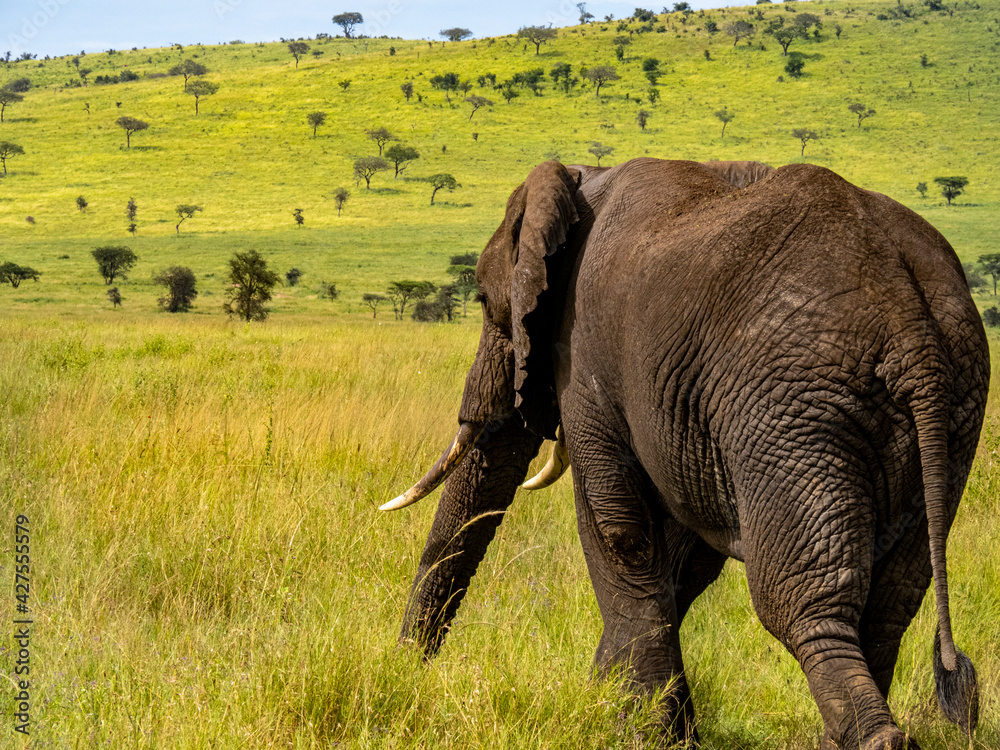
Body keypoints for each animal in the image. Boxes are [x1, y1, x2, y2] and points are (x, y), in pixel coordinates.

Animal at [383, 158, 986, 749]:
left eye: (484, 302)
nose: (410, 670)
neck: (584, 180)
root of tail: (910, 327)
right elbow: (682, 559)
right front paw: (628, 713)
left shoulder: (585, 358)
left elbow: (618, 530)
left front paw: (640, 731)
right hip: (950, 415)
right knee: (890, 602)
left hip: (792, 411)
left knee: (800, 599)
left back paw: (878, 738)